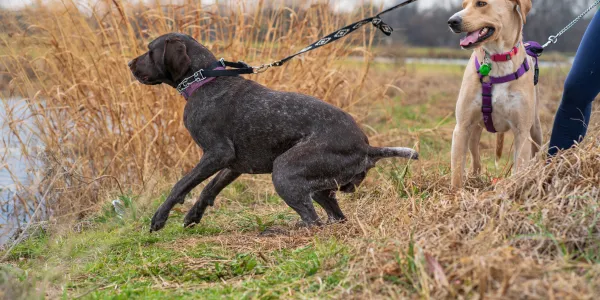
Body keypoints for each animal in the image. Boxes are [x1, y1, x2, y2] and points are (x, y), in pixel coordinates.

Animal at [446, 0, 540, 188]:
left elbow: (519, 167)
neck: (498, 58)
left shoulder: (522, 132)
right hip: (474, 133)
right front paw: (456, 194)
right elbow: (457, 173)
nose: (451, 21)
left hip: (536, 130)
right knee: (476, 160)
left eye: (481, 3)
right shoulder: (462, 128)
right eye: (464, 5)